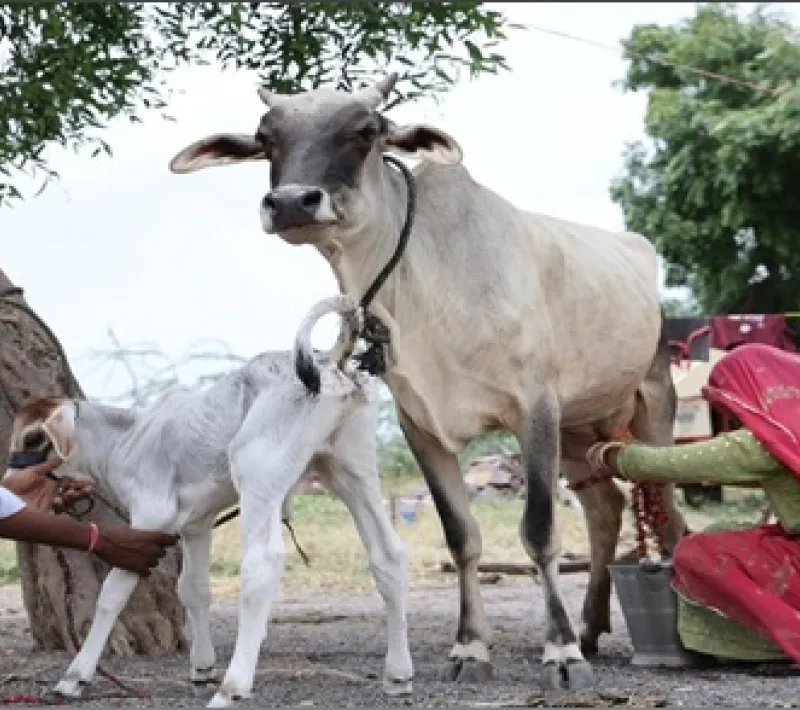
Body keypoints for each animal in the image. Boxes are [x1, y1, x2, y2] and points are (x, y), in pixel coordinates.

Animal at [168, 74, 687, 689]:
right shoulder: (422, 425)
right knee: (604, 511)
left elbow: (539, 531)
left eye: (366, 130)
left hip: (651, 404)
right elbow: (461, 535)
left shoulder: (535, 408)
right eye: (266, 138)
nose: (293, 202)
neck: (427, 288)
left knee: (666, 507)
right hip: (580, 429)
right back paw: (589, 627)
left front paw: (560, 653)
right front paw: (472, 647)